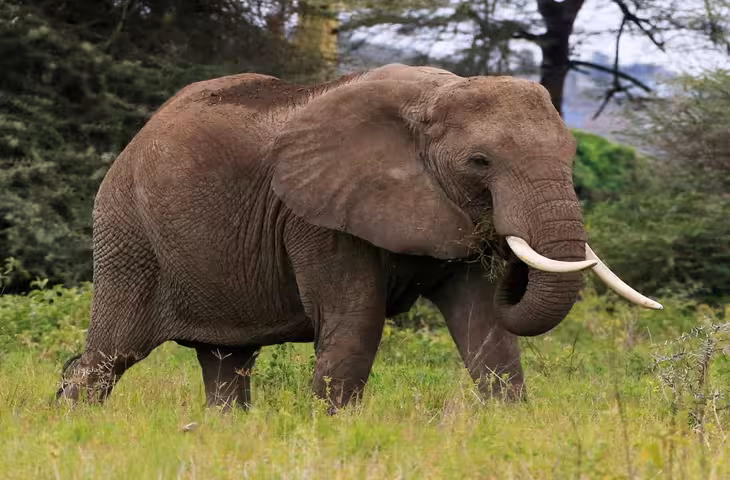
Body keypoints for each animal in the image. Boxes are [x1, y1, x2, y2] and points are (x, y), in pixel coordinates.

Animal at [57, 63, 661, 411]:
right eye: (480, 162)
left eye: (572, 154)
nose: (508, 251)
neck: (433, 98)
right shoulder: (316, 214)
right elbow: (356, 321)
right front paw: (329, 430)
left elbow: (484, 323)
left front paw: (507, 425)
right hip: (128, 234)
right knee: (113, 353)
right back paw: (72, 420)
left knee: (226, 362)